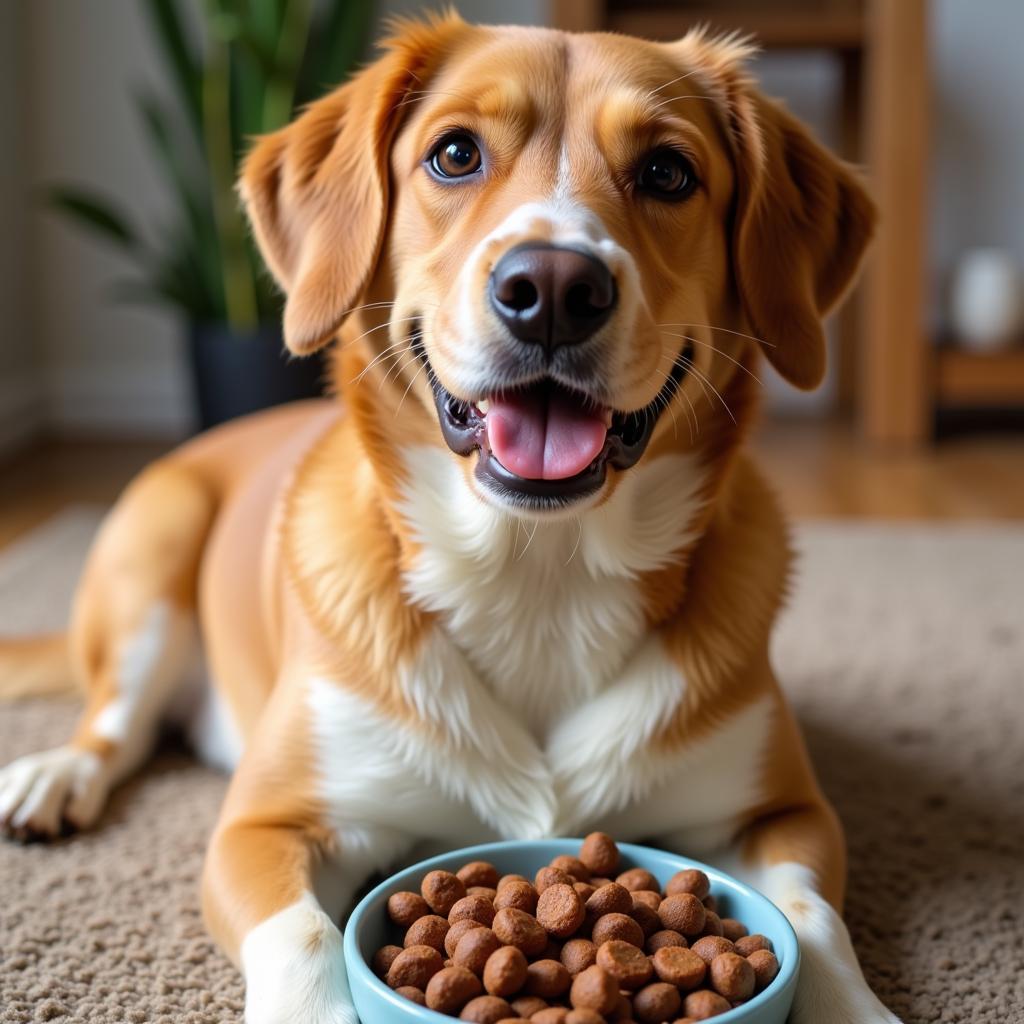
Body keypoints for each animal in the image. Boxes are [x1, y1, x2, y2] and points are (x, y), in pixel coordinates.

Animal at [0, 14, 897, 1024]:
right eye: (456, 154)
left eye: (669, 172)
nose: (554, 287)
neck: (541, 569)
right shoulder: (266, 824)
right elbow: (304, 933)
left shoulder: (783, 814)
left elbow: (814, 924)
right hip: (153, 554)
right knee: (114, 722)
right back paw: (56, 776)